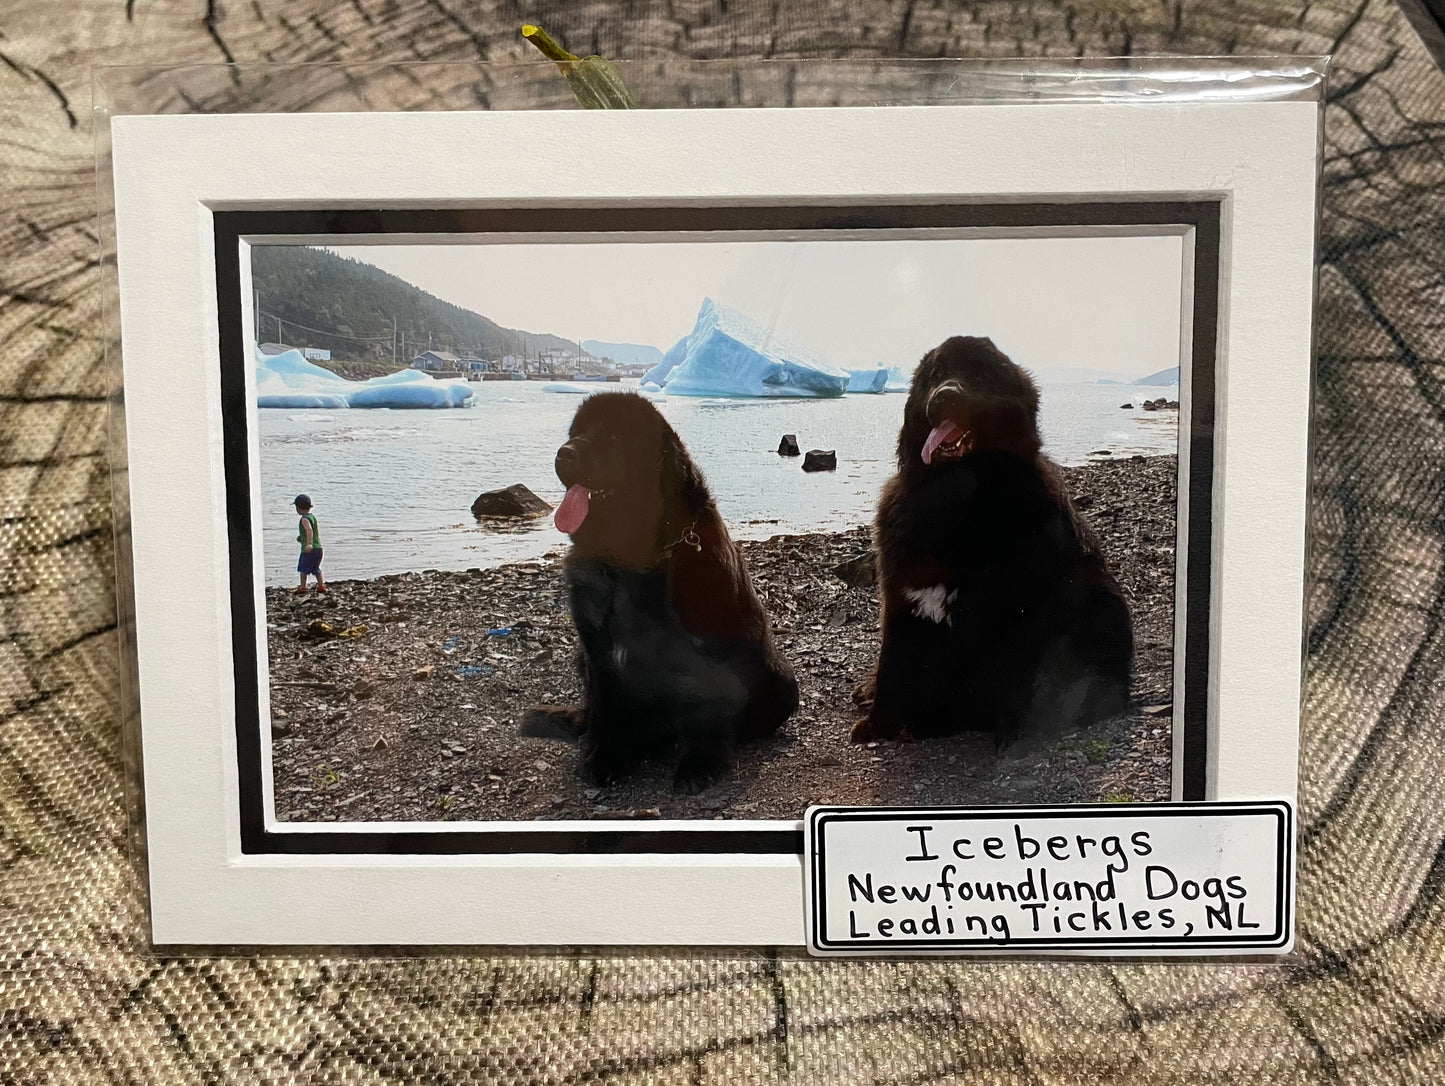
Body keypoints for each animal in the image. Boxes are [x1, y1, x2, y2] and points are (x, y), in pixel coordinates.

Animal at [520, 389, 797, 791]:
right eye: (575, 432)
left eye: (613, 436)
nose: (564, 453)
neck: (629, 561)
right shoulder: (598, 655)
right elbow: (607, 710)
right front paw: (604, 757)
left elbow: (706, 708)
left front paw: (700, 765)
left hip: (782, 683)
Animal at [849, 337, 1132, 745]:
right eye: (935, 374)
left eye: (980, 376)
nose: (945, 394)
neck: (957, 495)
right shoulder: (900, 595)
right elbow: (891, 664)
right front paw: (877, 726)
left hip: (1103, 603)